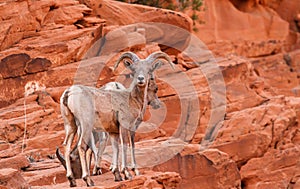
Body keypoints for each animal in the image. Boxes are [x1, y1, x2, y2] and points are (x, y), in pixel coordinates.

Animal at [60, 51, 173, 186]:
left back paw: (72, 180)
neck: (130, 98)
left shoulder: (113, 132)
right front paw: (127, 174)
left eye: (148, 69)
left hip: (70, 125)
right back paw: (88, 180)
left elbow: (116, 148)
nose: (141, 79)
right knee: (81, 146)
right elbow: (125, 145)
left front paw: (117, 175)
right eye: (134, 69)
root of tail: (69, 92)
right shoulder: (125, 126)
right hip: (86, 125)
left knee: (66, 147)